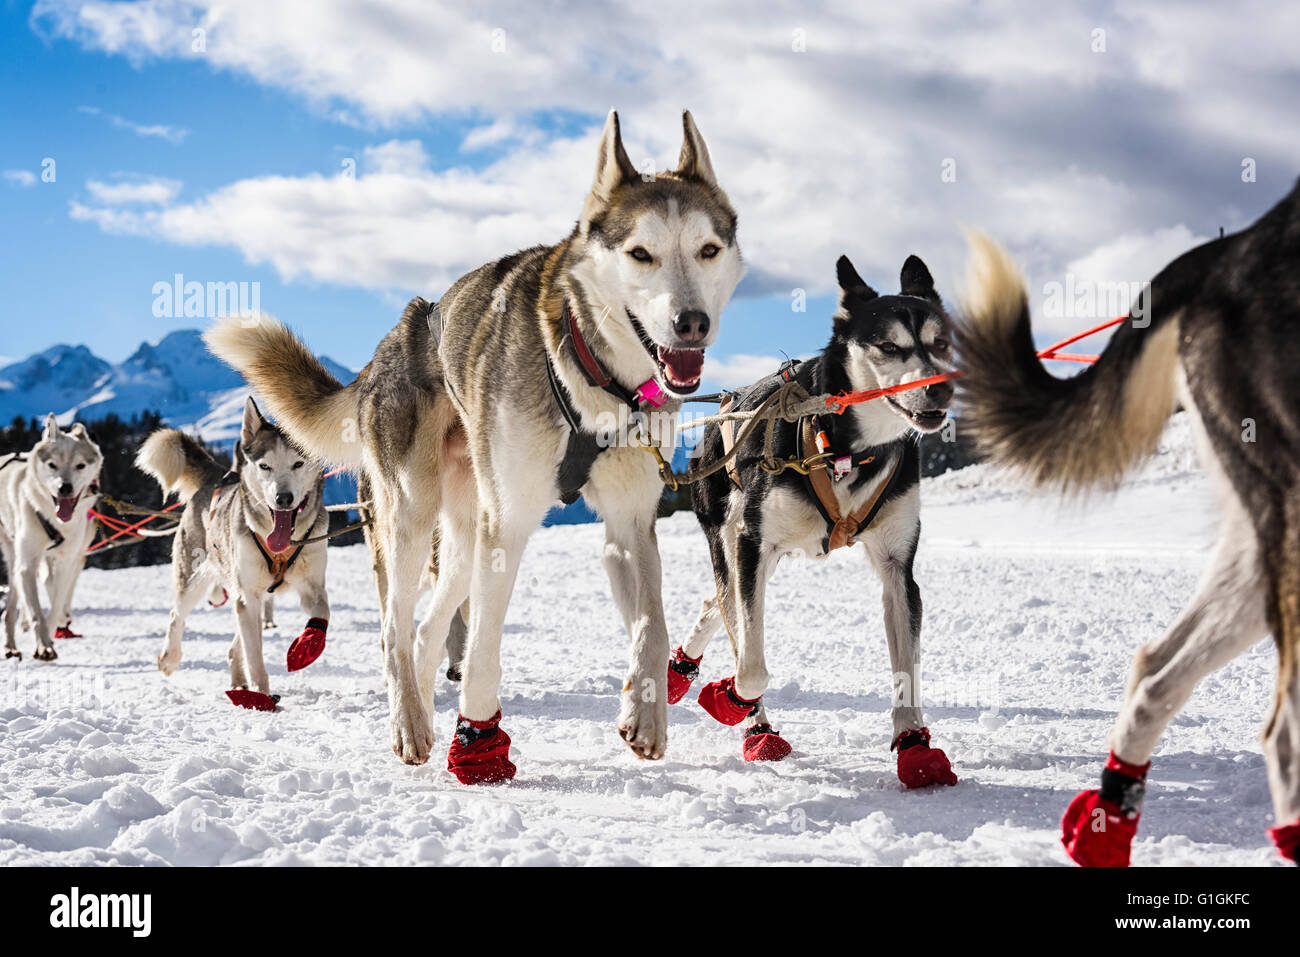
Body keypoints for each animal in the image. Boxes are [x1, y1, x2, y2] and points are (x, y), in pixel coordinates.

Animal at [0, 416, 101, 660]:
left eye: (80, 465)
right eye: (52, 465)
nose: (65, 488)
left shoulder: (68, 560)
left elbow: (56, 603)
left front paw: (57, 623)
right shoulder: (27, 565)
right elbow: (36, 611)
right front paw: (43, 646)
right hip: (14, 557)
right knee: (10, 609)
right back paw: (10, 645)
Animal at [135, 392, 330, 707]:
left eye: (298, 464)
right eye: (265, 466)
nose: (283, 498)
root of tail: (221, 477)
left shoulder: (311, 587)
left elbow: (323, 612)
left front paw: (307, 646)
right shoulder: (247, 596)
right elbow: (256, 658)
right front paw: (263, 696)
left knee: (235, 643)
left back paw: (239, 682)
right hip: (198, 577)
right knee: (178, 615)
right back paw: (170, 658)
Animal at [209, 110, 748, 780]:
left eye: (707, 250)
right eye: (640, 253)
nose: (691, 323)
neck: (593, 375)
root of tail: (393, 339)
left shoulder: (628, 523)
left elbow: (651, 627)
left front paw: (645, 713)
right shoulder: (508, 525)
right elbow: (486, 646)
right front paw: (479, 743)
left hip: (463, 536)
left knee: (424, 630)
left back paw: (418, 702)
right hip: (414, 515)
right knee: (394, 628)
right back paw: (410, 725)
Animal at [676, 254, 961, 785]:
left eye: (940, 343)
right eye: (889, 346)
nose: (941, 388)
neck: (847, 449)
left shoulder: (897, 569)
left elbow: (906, 673)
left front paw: (914, 747)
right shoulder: (753, 544)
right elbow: (751, 667)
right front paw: (731, 700)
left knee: (715, 602)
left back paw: (675, 672)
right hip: (731, 541)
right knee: (734, 617)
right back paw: (755, 728)